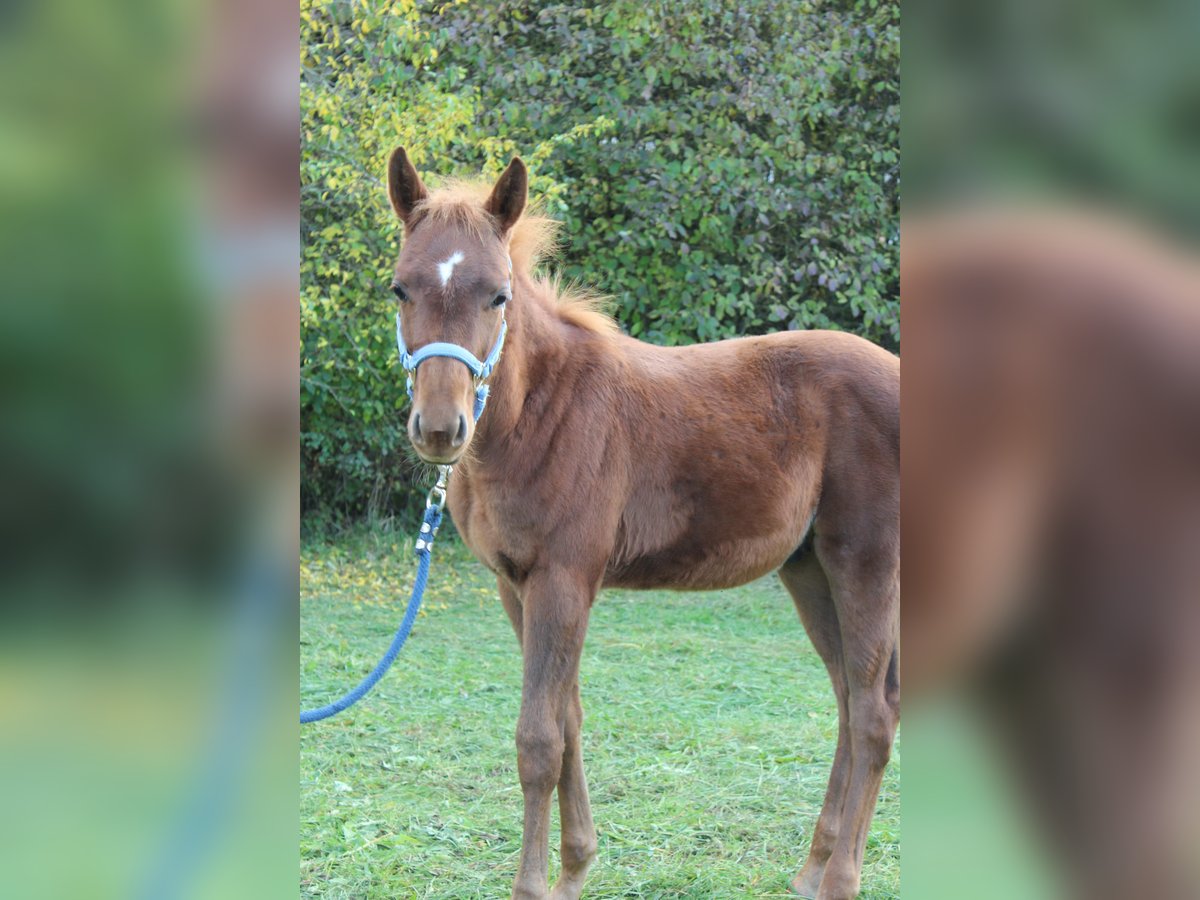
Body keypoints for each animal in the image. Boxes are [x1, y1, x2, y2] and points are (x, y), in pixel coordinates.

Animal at [384, 147, 900, 900]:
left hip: (866, 560)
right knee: (847, 697)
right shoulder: (517, 584)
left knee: (873, 714)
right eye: (400, 289)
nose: (440, 428)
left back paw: (840, 879)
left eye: (497, 295)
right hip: (808, 570)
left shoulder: (564, 578)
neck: (539, 410)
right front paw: (576, 868)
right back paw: (812, 868)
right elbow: (568, 719)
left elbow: (539, 739)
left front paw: (534, 885)